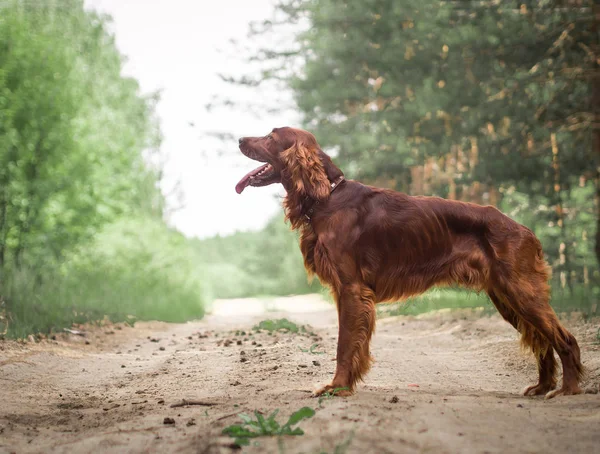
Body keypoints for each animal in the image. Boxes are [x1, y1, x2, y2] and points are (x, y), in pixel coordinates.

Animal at [237, 127, 584, 398]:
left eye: (271, 136)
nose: (240, 139)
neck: (329, 196)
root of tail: (525, 230)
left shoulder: (352, 288)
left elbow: (344, 344)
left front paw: (338, 387)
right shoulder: (346, 291)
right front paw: (346, 384)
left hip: (521, 292)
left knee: (564, 339)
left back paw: (567, 389)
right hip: (507, 297)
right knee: (543, 341)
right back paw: (542, 387)